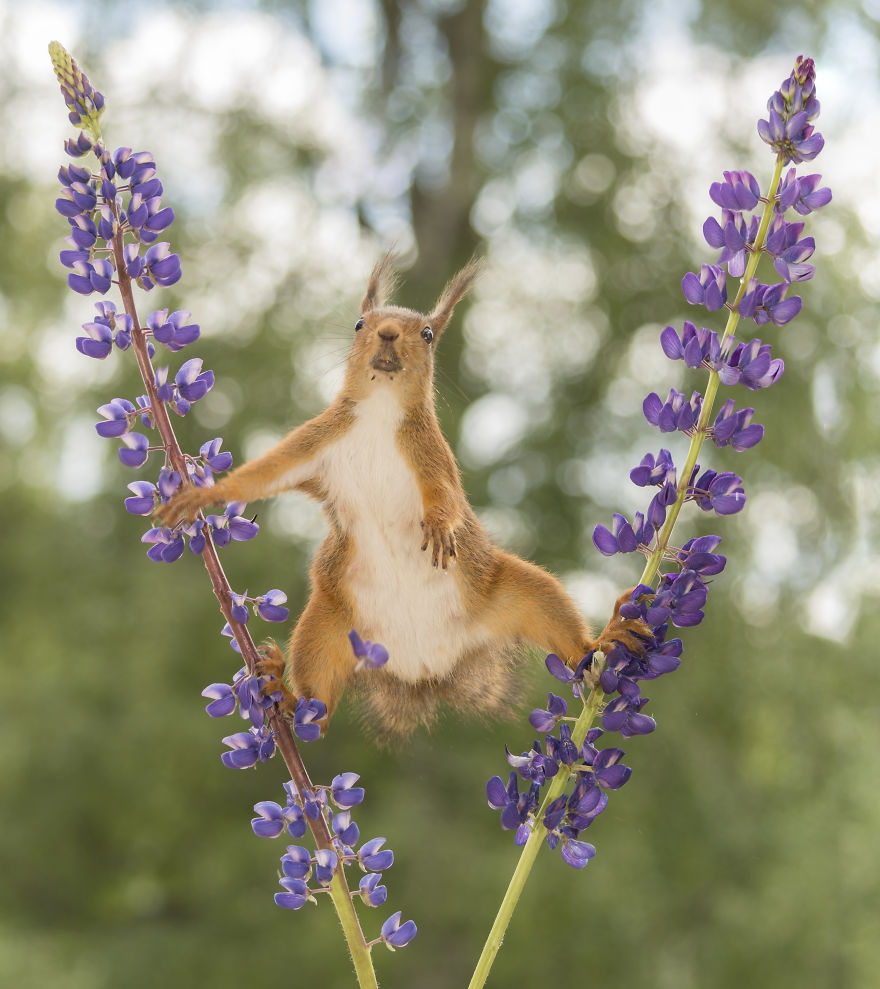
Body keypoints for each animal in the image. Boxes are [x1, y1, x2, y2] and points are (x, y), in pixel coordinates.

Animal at [157, 255, 648, 736]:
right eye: (360, 323)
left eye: (427, 334)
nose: (389, 332)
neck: (380, 408)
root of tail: (424, 669)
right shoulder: (316, 442)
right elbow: (263, 475)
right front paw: (204, 494)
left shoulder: (431, 456)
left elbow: (445, 497)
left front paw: (438, 524)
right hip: (326, 629)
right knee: (320, 711)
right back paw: (286, 691)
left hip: (521, 593)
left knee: (571, 641)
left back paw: (606, 637)